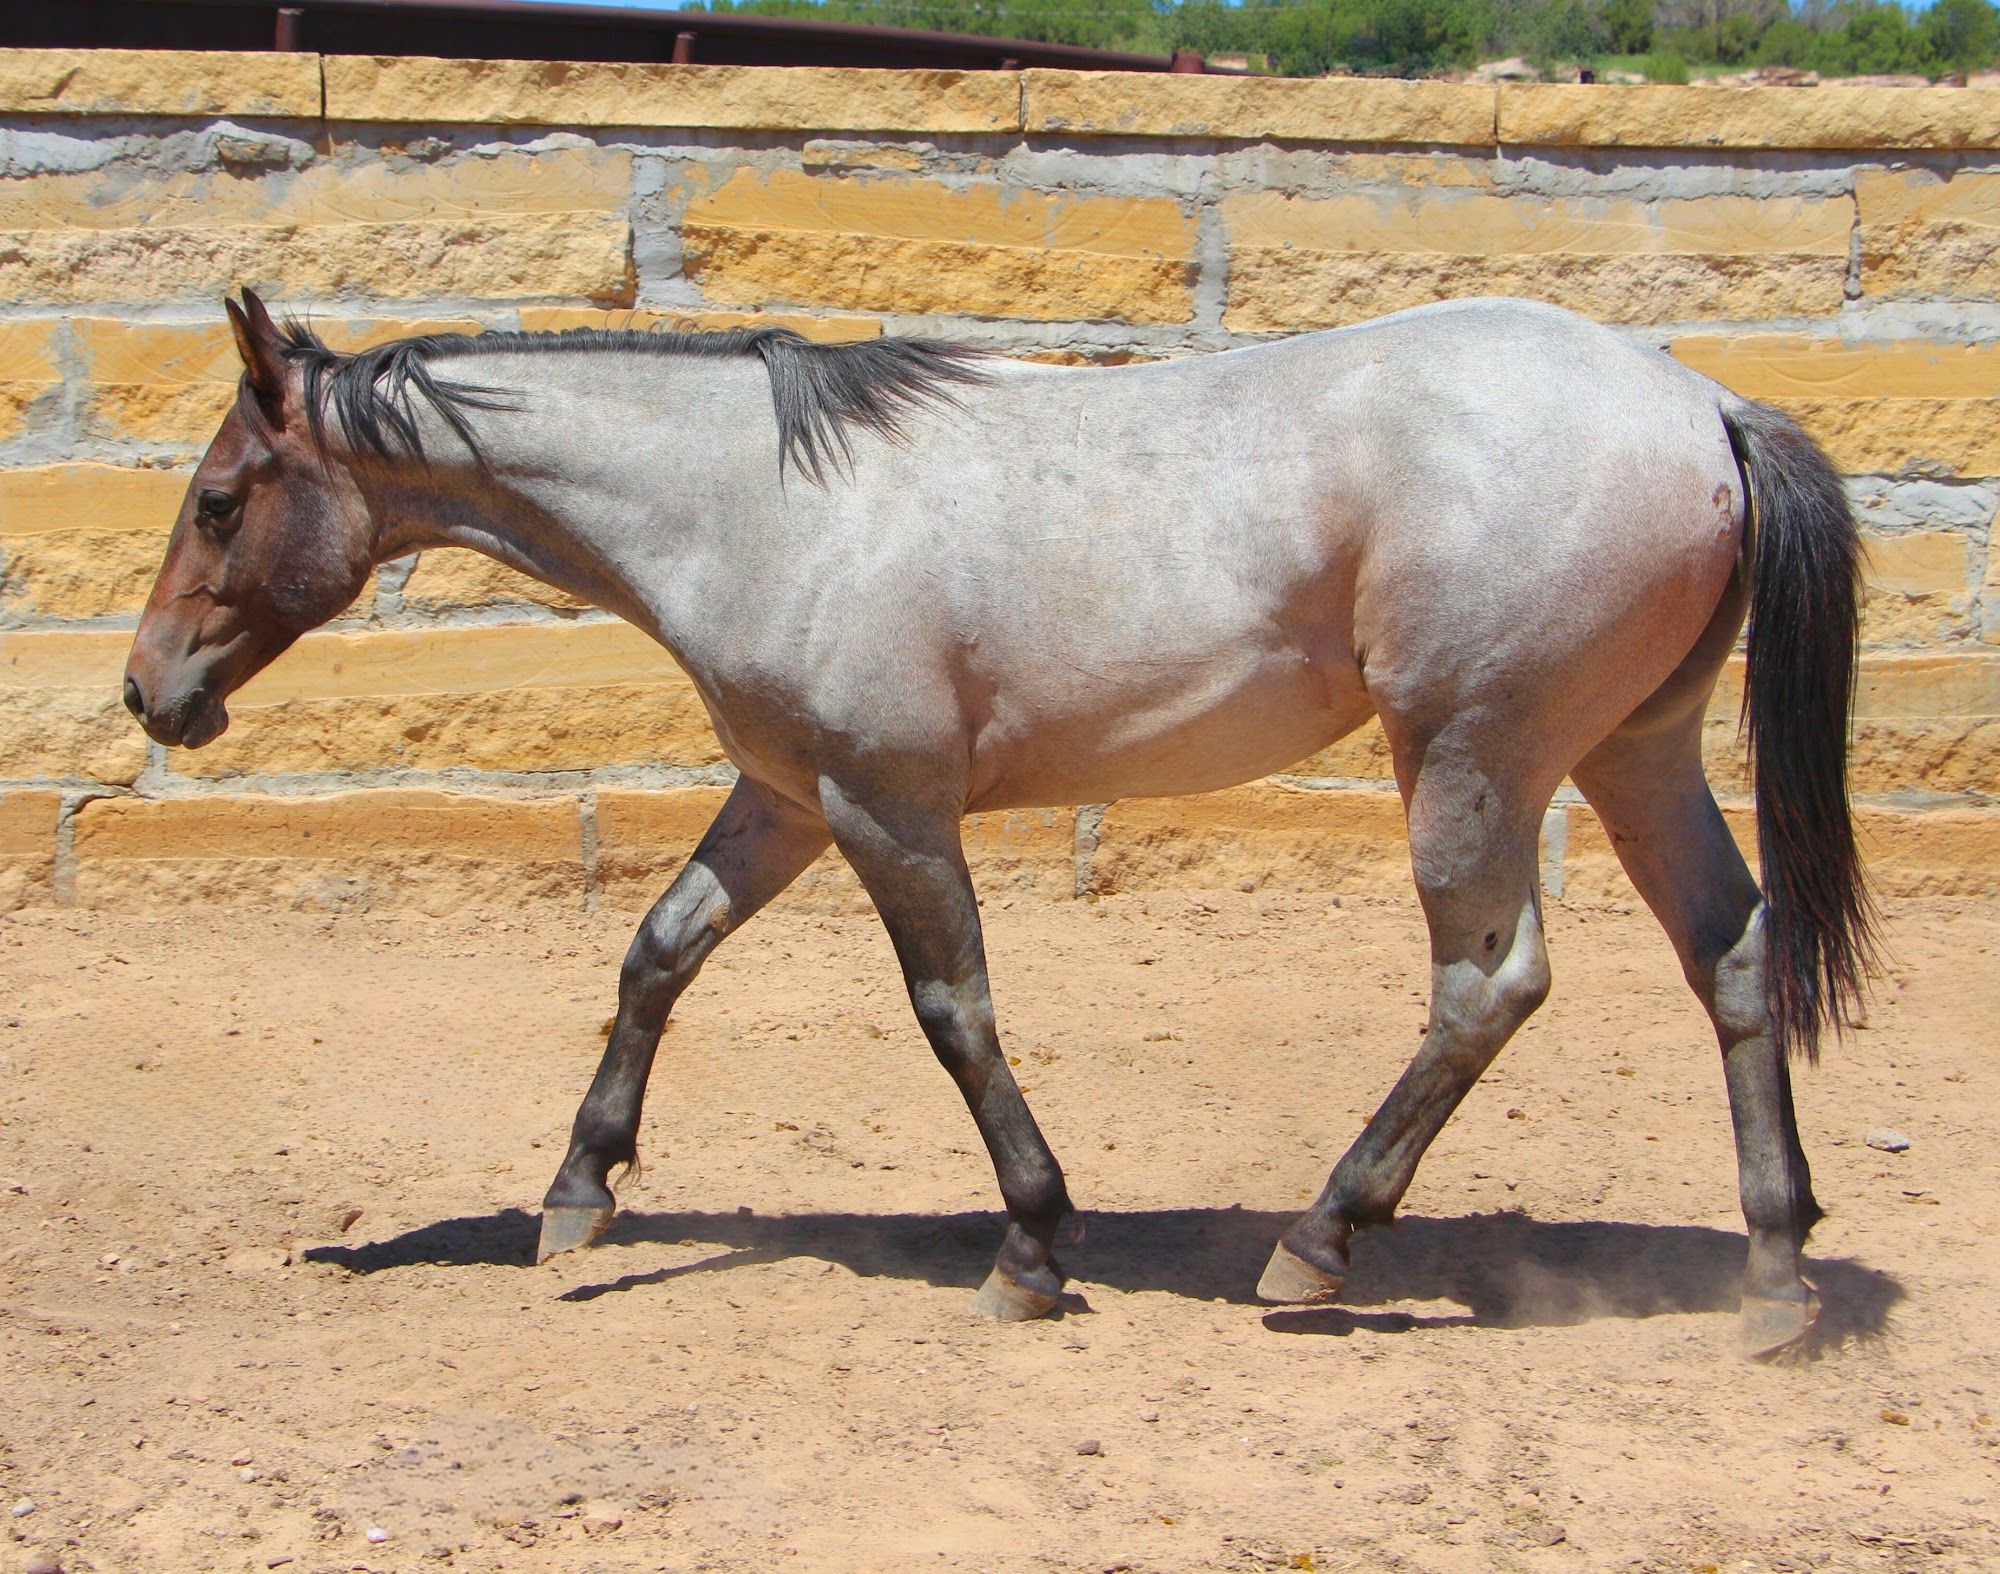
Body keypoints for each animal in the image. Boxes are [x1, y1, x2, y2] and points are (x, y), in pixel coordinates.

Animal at [123, 289, 1872, 1359]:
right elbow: (656, 955)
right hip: (1632, 752)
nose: (150, 694)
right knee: (1735, 954)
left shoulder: (886, 805)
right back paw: (1774, 1274)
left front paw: (1032, 1247)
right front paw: (577, 1195)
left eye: (217, 499)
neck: (765, 500)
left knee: (1488, 984)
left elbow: (953, 1009)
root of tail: (1704, 404)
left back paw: (1318, 1242)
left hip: (1470, 759)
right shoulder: (786, 797)